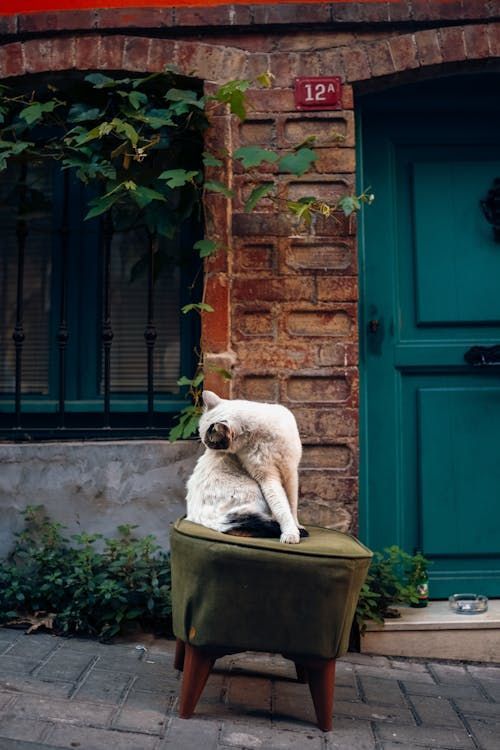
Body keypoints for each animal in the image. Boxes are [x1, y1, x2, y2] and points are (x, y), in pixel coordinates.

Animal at [186, 390, 306, 544]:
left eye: (210, 441)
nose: (206, 445)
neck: (261, 437)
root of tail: (204, 520)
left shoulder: (290, 472)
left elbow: (291, 505)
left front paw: (295, 527)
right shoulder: (267, 478)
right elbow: (281, 508)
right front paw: (290, 533)